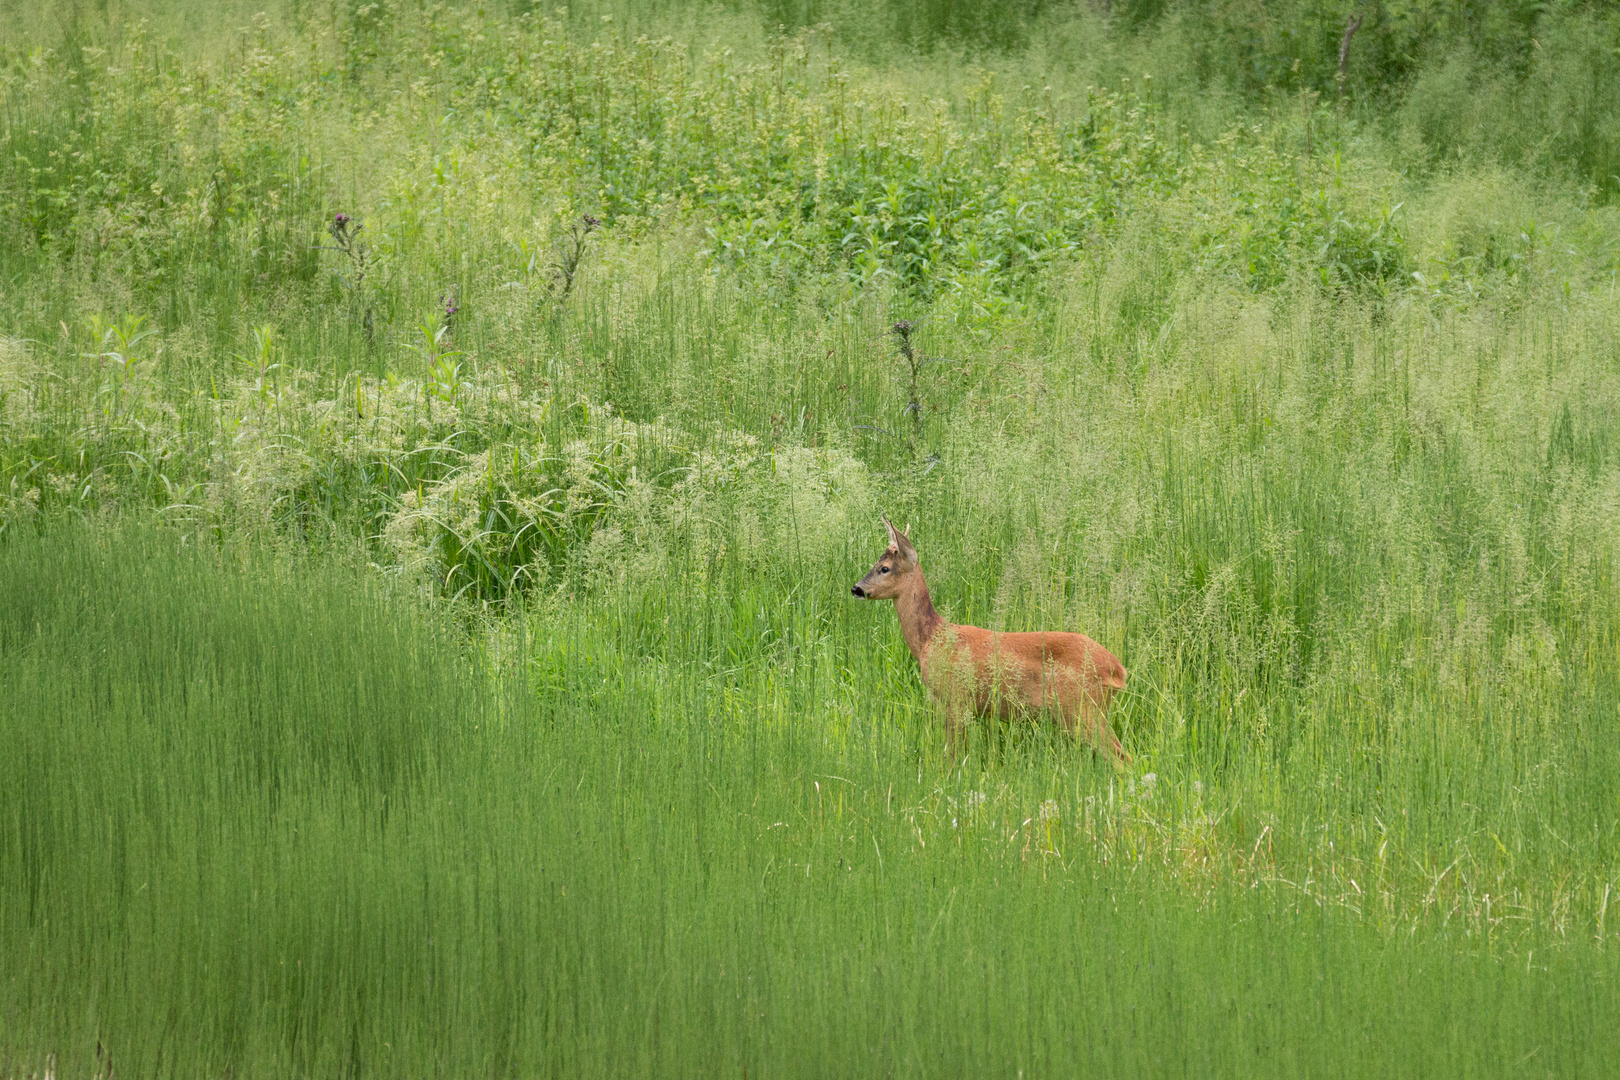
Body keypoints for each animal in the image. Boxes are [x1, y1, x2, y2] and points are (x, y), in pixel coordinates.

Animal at [848, 518, 1127, 764]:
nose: (856, 589)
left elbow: (953, 755)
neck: (931, 639)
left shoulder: (955, 699)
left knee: (1121, 757)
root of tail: (1118, 671)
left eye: (884, 568)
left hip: (1082, 708)